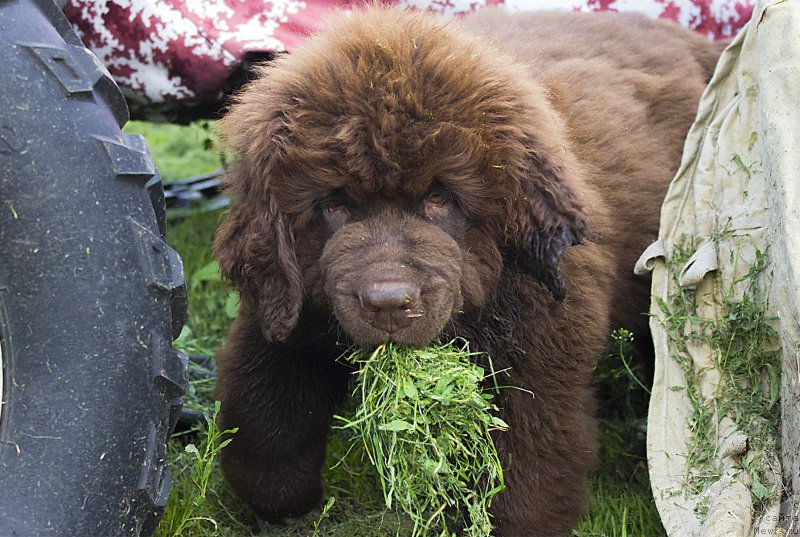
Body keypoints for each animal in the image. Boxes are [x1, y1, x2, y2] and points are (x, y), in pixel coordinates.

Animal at [211, 6, 720, 532]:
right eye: (333, 204)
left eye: (440, 198)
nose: (388, 304)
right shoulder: (287, 309)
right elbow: (263, 415)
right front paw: (285, 501)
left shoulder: (537, 361)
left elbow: (526, 475)